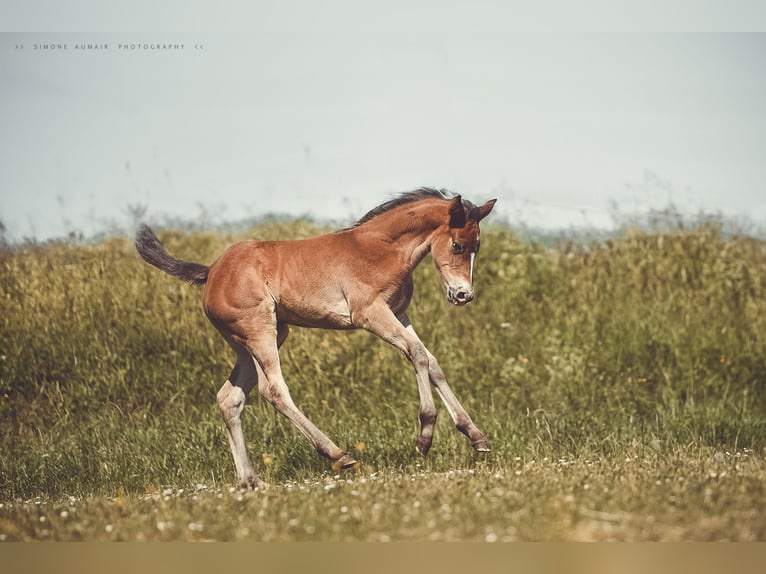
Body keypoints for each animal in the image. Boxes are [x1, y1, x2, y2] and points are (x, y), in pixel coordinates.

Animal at [136, 189, 498, 490]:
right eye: (457, 245)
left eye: (477, 247)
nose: (464, 295)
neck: (382, 248)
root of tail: (211, 271)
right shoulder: (369, 314)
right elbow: (418, 355)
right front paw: (424, 437)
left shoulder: (398, 312)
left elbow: (431, 361)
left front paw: (475, 436)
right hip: (259, 331)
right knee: (274, 391)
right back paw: (339, 454)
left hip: (253, 340)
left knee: (229, 399)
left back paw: (251, 480)